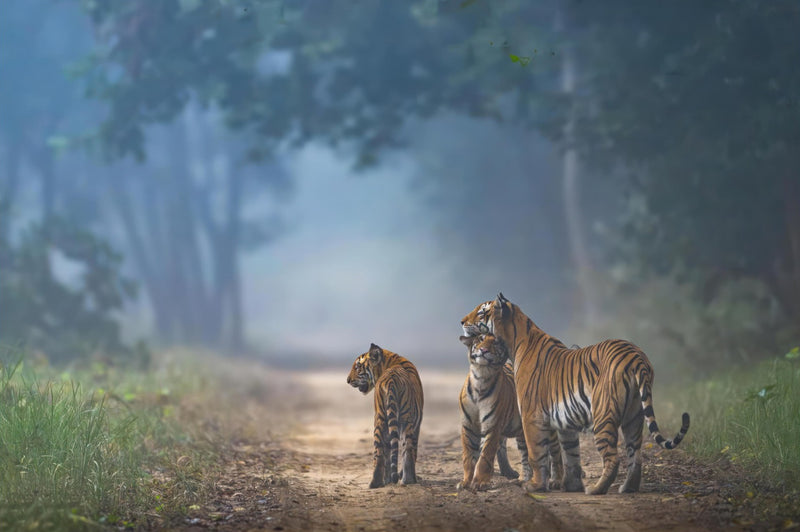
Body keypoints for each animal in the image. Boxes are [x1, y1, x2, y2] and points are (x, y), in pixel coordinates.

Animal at [347, 343, 424, 489]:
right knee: (404, 450)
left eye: (357, 367)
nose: (348, 380)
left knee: (382, 452)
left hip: (381, 418)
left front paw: (389, 479)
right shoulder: (417, 424)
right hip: (403, 419)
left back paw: (377, 483)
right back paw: (408, 480)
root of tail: (391, 379)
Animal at [458, 333, 562, 491]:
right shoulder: (468, 426)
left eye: (495, 342)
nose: (483, 350)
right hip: (522, 433)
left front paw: (480, 482)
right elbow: (468, 457)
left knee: (556, 452)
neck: (481, 377)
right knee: (525, 456)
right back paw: (523, 479)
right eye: (481, 339)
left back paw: (556, 480)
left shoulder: (492, 427)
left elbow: (485, 456)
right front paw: (466, 482)